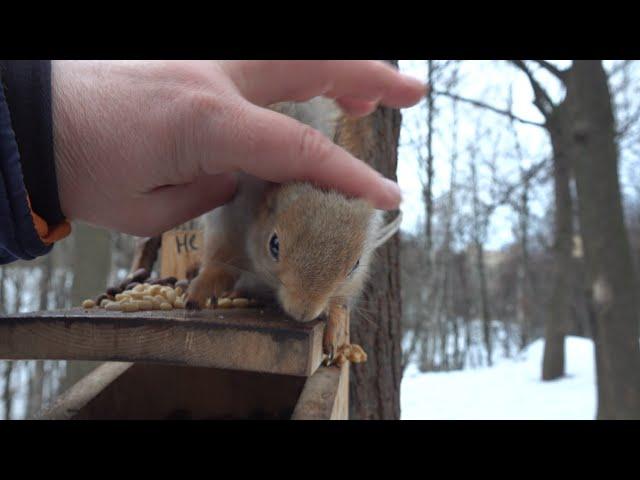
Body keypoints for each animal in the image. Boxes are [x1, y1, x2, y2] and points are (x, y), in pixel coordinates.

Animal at [185, 96, 400, 360]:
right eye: (274, 245)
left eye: (355, 266)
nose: (302, 312)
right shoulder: (230, 224)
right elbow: (220, 261)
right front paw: (204, 287)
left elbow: (341, 301)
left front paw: (335, 323)